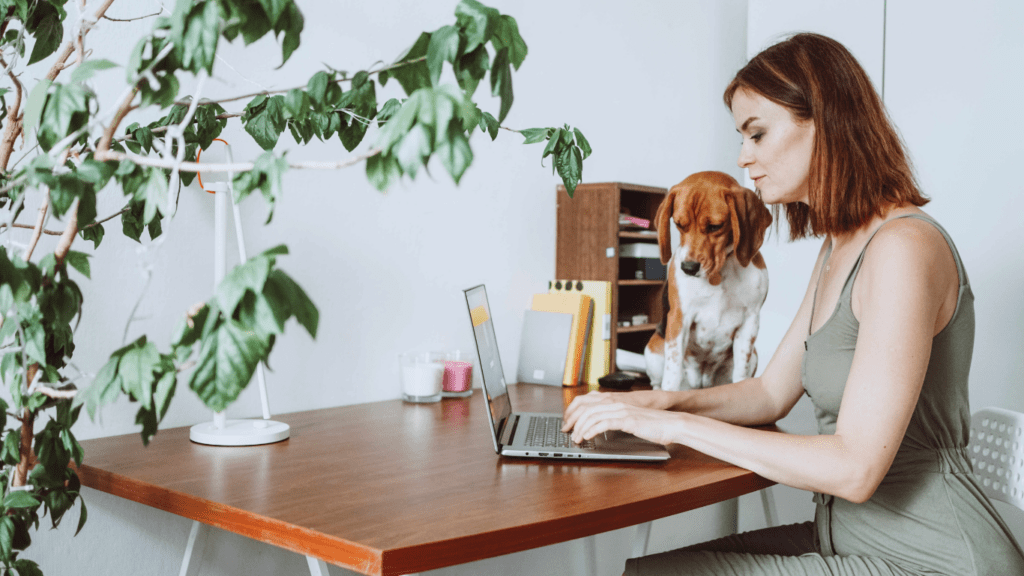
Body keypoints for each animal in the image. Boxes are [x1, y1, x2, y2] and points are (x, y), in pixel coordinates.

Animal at [643, 168, 770, 387]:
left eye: (715, 226)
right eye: (679, 224)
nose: (688, 268)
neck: (719, 273)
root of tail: (702, 382)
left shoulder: (750, 321)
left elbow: (741, 372)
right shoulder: (679, 318)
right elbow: (673, 372)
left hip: (754, 355)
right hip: (653, 348)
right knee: (659, 382)